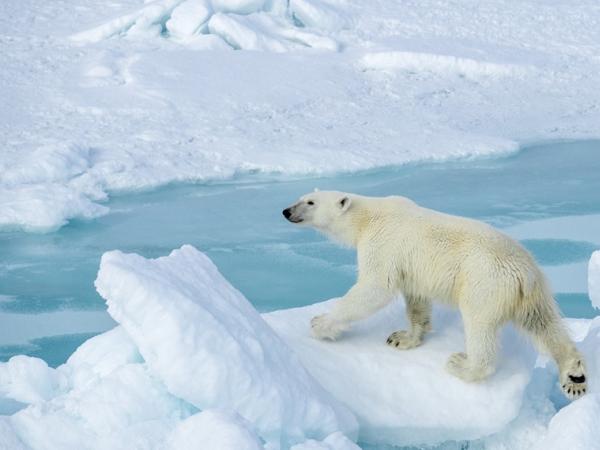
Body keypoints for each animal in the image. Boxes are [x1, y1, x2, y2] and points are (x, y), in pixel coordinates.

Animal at [284, 189, 588, 398]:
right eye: (301, 197)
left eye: (310, 202)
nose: (286, 211)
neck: (366, 217)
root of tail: (524, 272)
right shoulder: (411, 267)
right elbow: (416, 299)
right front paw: (402, 338)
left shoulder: (382, 244)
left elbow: (375, 286)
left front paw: (320, 323)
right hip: (532, 294)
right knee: (544, 325)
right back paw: (574, 377)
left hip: (484, 283)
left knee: (480, 327)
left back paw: (461, 364)